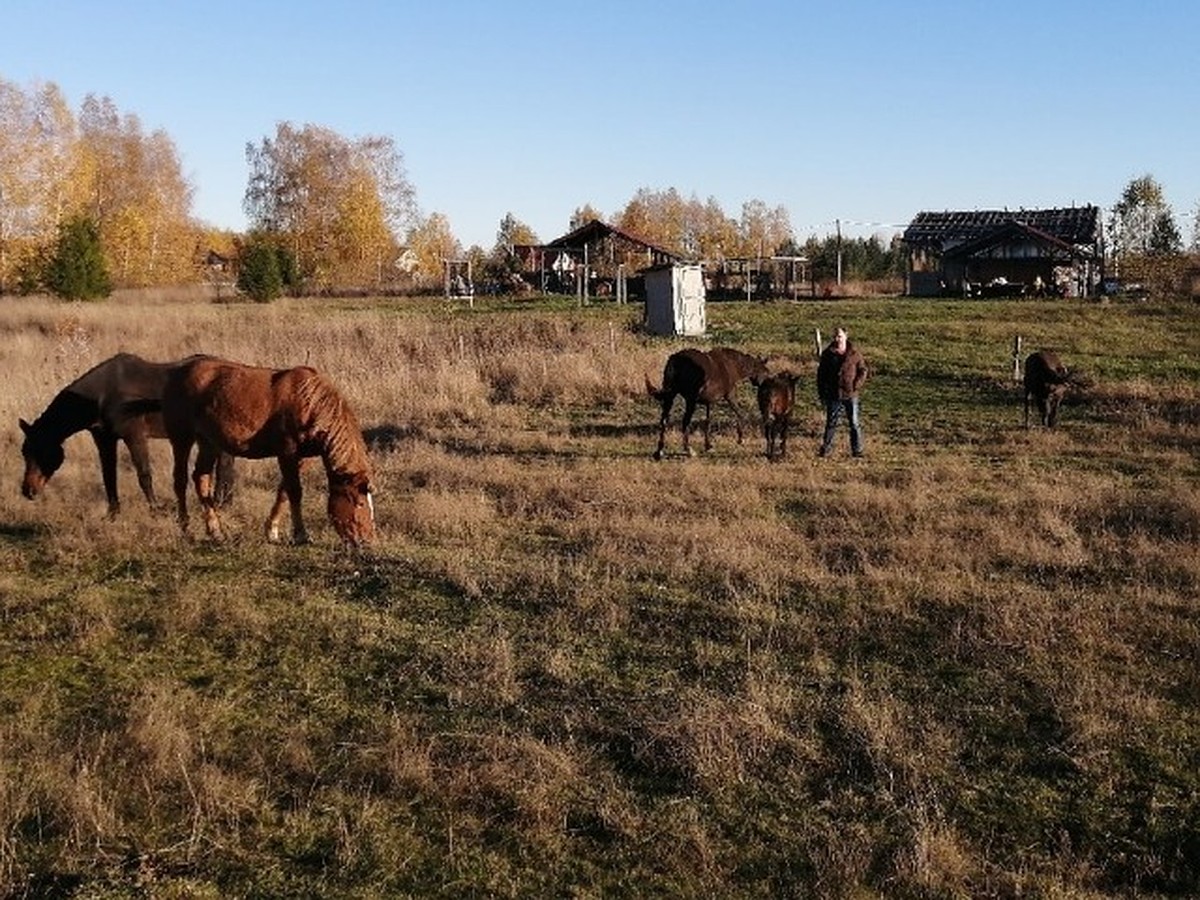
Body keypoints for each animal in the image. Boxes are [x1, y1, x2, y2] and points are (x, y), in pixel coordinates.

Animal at [18, 355, 232, 518]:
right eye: (24, 452)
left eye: (42, 450)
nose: (28, 491)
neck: (103, 394)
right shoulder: (104, 440)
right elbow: (109, 476)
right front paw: (112, 514)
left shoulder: (134, 436)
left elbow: (144, 475)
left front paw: (155, 510)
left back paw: (221, 503)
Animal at [162, 362, 372, 547]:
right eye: (360, 502)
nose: (368, 540)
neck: (309, 401)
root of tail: (177, 372)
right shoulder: (287, 452)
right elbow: (295, 492)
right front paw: (301, 535)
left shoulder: (301, 458)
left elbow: (284, 491)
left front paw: (272, 531)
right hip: (182, 438)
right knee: (180, 481)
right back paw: (186, 530)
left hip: (209, 442)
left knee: (201, 477)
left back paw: (216, 532)